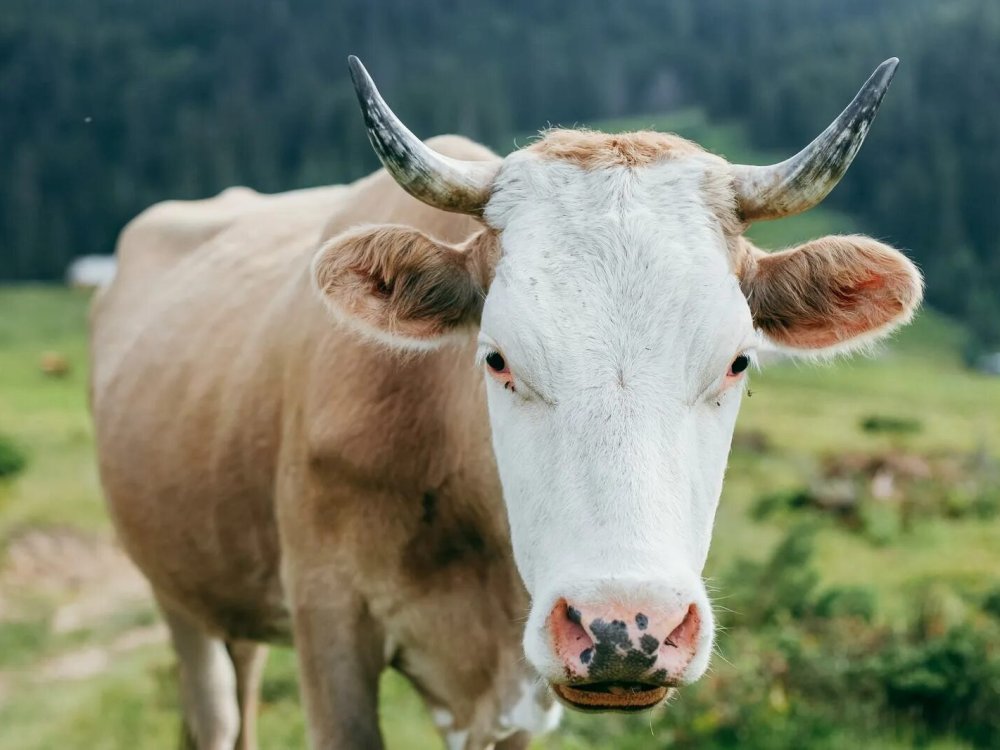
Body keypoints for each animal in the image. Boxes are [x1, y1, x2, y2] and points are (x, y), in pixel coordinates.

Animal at [89, 56, 921, 750]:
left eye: (738, 361)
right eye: (498, 359)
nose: (625, 628)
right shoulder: (330, 623)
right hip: (175, 589)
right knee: (216, 714)